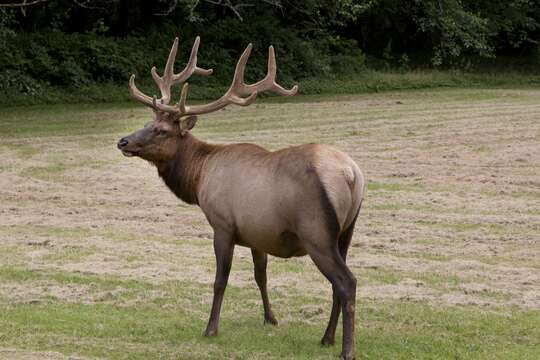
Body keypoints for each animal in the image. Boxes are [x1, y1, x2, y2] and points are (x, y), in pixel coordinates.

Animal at [116, 36, 364, 360]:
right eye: (147, 123)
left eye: (161, 130)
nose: (123, 141)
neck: (199, 177)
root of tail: (351, 173)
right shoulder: (258, 232)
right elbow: (261, 275)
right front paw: (270, 318)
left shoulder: (222, 224)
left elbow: (220, 280)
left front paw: (210, 328)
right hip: (346, 231)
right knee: (338, 283)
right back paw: (327, 338)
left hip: (316, 232)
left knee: (347, 282)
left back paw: (346, 348)